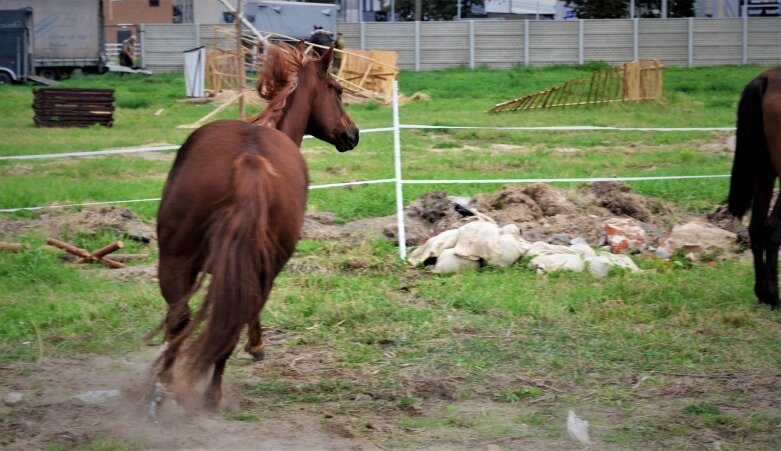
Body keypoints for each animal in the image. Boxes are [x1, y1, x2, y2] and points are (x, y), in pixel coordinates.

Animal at [149, 42, 360, 416]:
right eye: (337, 90)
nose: (354, 134)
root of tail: (249, 160)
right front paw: (258, 345)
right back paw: (211, 394)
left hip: (175, 262)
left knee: (180, 320)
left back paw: (166, 388)